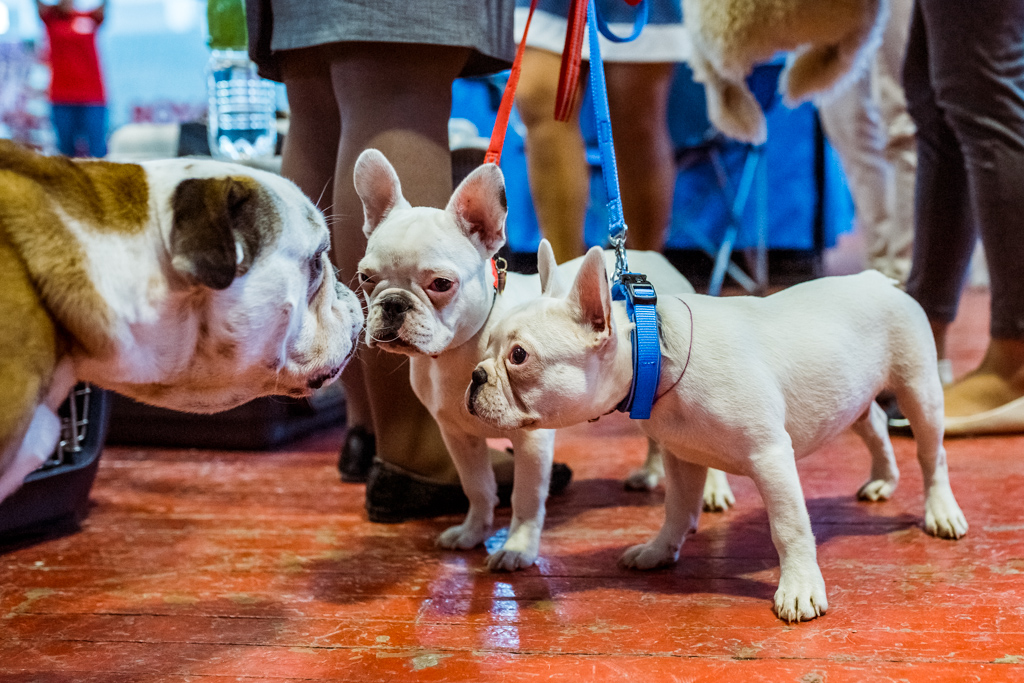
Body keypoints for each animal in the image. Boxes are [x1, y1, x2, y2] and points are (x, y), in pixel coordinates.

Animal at [468, 248, 966, 622]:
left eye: (518, 356)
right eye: (488, 346)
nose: (475, 375)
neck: (654, 352)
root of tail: (876, 280)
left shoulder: (771, 456)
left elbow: (789, 527)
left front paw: (800, 588)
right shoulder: (681, 454)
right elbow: (676, 509)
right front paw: (659, 550)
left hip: (920, 391)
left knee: (933, 456)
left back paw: (941, 511)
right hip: (852, 394)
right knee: (875, 425)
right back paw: (882, 479)